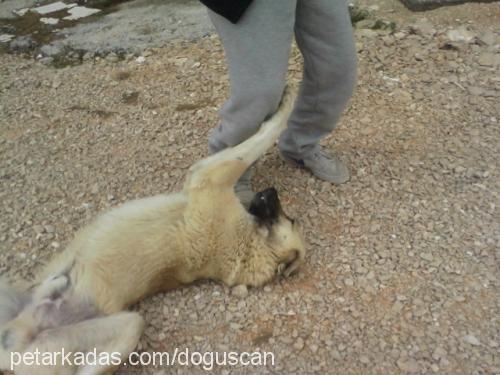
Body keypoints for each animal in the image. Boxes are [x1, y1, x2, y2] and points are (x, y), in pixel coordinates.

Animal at [0, 86, 304, 374]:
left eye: (289, 219)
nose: (272, 191)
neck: (249, 246)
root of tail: (21, 336)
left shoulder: (209, 173)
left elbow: (262, 138)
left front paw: (288, 102)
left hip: (127, 325)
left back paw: (53, 287)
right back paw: (51, 285)